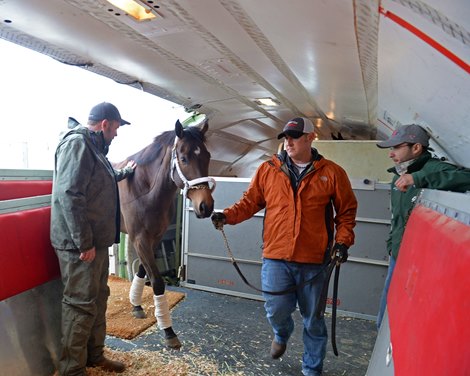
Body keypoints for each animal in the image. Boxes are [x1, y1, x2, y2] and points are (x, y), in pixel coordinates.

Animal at [114, 119, 215, 348]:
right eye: (184, 158)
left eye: (207, 156)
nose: (205, 206)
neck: (144, 189)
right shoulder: (139, 239)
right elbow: (157, 281)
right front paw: (168, 331)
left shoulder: (154, 237)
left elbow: (143, 270)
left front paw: (136, 305)